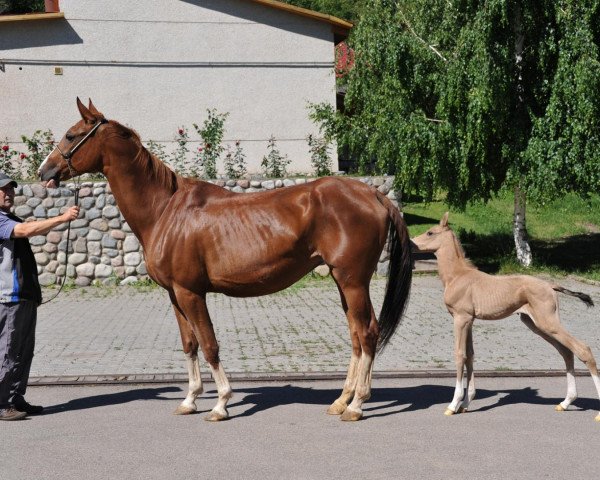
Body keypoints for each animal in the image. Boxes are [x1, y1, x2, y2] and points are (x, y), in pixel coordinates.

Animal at [37, 99, 412, 422]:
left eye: (71, 135)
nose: (44, 172)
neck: (165, 211)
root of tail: (373, 193)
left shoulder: (191, 293)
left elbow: (209, 345)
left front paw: (220, 403)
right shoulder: (174, 294)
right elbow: (189, 345)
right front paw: (190, 400)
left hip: (353, 281)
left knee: (368, 333)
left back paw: (358, 404)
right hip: (342, 280)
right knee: (355, 335)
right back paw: (341, 400)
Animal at [412, 213, 600, 420]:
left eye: (430, 232)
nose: (412, 243)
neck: (457, 275)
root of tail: (551, 285)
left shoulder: (461, 319)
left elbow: (460, 355)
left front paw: (453, 405)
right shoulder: (470, 320)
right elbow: (470, 355)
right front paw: (466, 404)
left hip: (547, 322)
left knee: (583, 349)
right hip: (536, 324)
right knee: (567, 352)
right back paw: (565, 403)